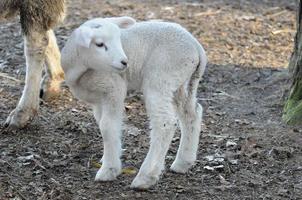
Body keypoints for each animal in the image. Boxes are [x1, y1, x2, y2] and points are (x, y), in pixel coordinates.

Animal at [61, 16, 208, 189]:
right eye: (99, 44)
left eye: (119, 39)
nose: (125, 62)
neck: (79, 68)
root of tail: (196, 47)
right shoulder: (99, 99)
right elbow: (104, 123)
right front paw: (111, 155)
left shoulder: (113, 87)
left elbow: (107, 126)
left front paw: (109, 169)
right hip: (182, 83)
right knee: (192, 113)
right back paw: (183, 163)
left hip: (161, 78)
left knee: (164, 123)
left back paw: (146, 176)